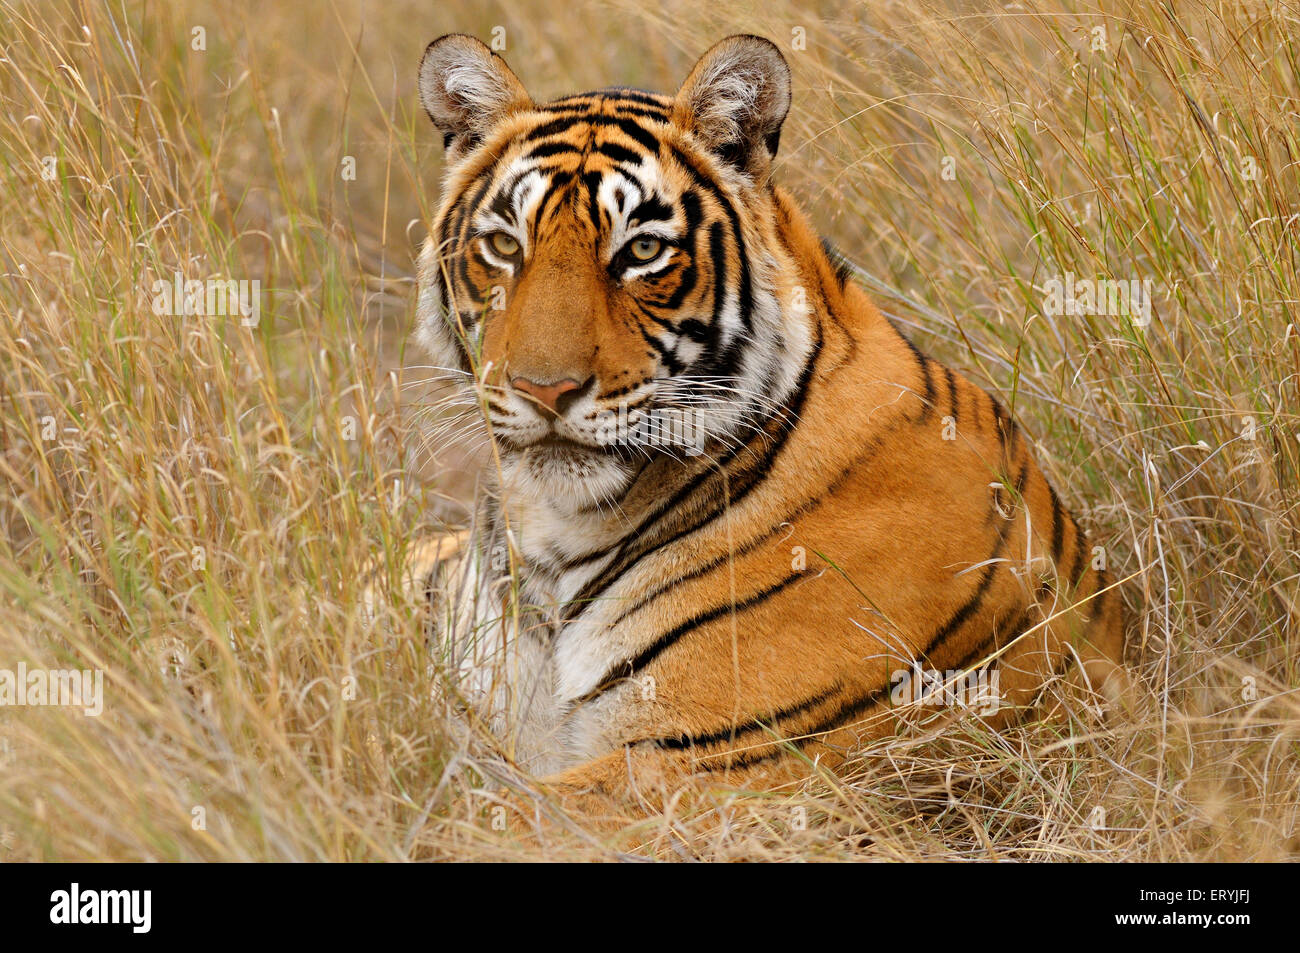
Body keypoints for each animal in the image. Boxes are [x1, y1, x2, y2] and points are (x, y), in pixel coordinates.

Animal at [408, 31, 1128, 816]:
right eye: (506, 245)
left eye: (642, 250)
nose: (545, 390)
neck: (559, 534)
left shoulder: (706, 762)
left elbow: (469, 820)